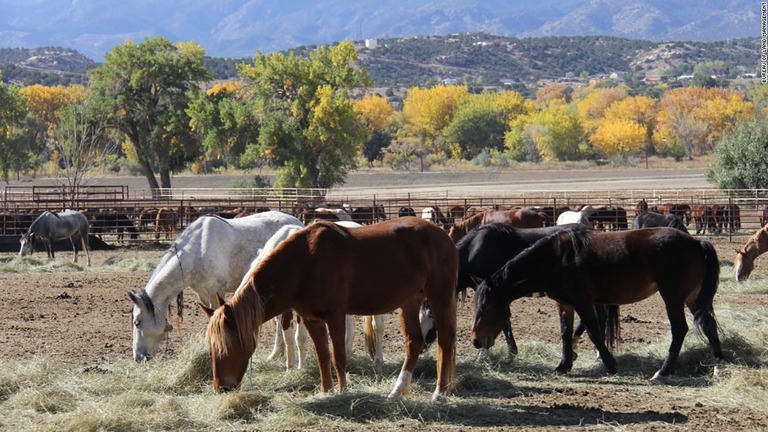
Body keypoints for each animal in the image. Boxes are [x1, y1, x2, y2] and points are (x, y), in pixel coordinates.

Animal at [128, 212, 304, 362]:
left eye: (137, 322)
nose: (138, 357)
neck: (198, 250)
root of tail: (298, 223)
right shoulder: (203, 295)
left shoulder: (216, 292)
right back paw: (276, 354)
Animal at [238, 221, 384, 372]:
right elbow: (288, 336)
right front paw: (290, 367)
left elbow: (300, 337)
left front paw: (300, 367)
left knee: (378, 327)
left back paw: (378, 361)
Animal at [472, 226, 724, 378]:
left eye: (486, 307)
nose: (475, 340)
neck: (556, 259)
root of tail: (696, 242)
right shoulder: (564, 304)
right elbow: (565, 333)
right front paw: (563, 365)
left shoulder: (584, 302)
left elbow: (594, 332)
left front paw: (611, 365)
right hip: (692, 297)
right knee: (708, 324)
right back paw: (717, 364)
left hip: (672, 297)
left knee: (679, 329)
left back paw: (663, 372)